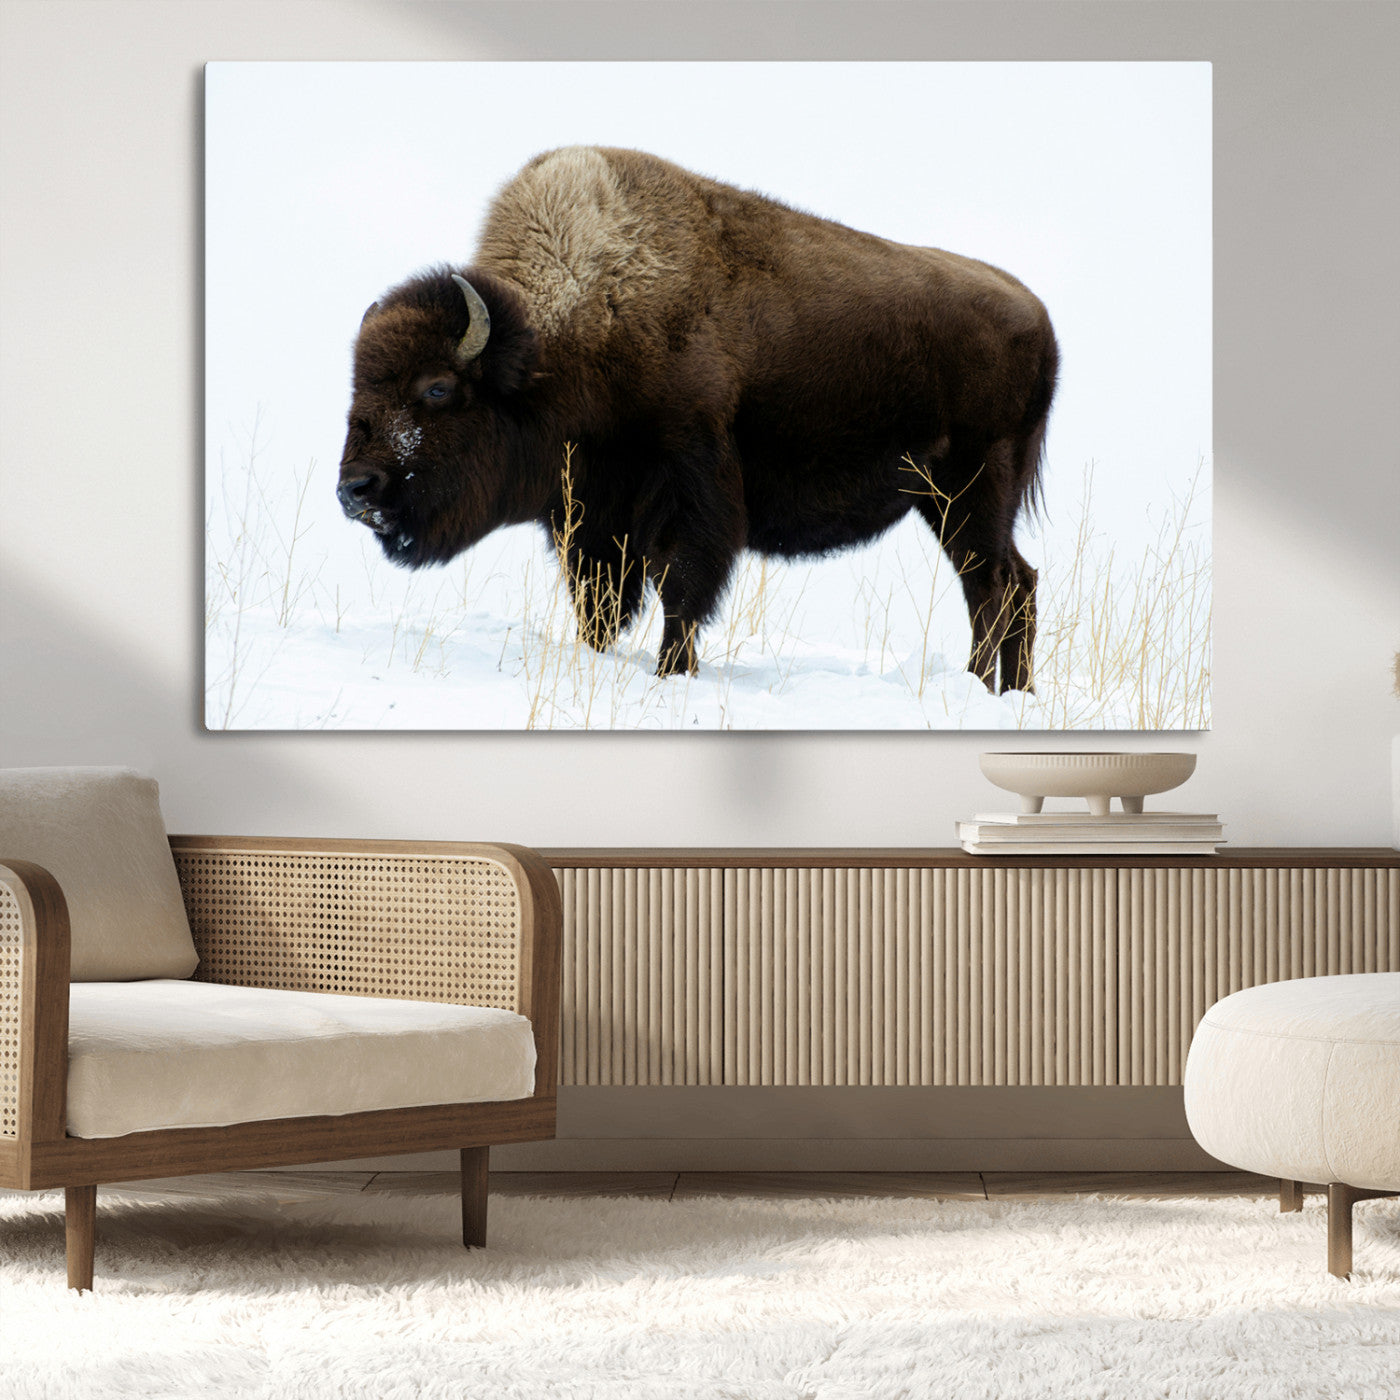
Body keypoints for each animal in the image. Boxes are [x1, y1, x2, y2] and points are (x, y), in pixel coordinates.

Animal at [338, 146, 1057, 690]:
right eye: (357, 384)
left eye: (437, 389)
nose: (355, 490)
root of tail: (1038, 314)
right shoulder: (591, 515)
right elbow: (600, 602)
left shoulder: (690, 490)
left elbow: (681, 588)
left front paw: (671, 674)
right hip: (944, 501)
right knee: (1011, 583)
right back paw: (1006, 691)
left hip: (973, 489)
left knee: (992, 585)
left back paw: (981, 687)